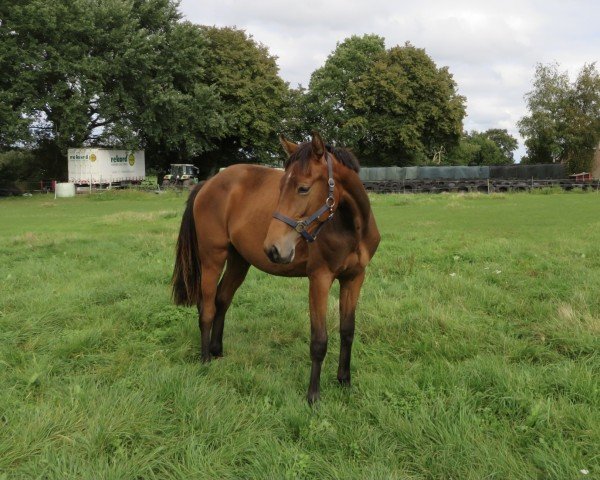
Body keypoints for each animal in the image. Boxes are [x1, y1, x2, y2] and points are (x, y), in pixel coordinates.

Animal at [171, 130, 382, 402]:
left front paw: (344, 382)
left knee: (222, 300)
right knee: (206, 307)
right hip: (212, 259)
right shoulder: (320, 279)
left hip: (239, 261)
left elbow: (347, 331)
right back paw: (205, 359)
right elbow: (319, 340)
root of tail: (207, 184)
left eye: (303, 188)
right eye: (280, 186)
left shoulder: (355, 278)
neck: (351, 228)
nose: (273, 249)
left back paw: (217, 351)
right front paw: (313, 395)